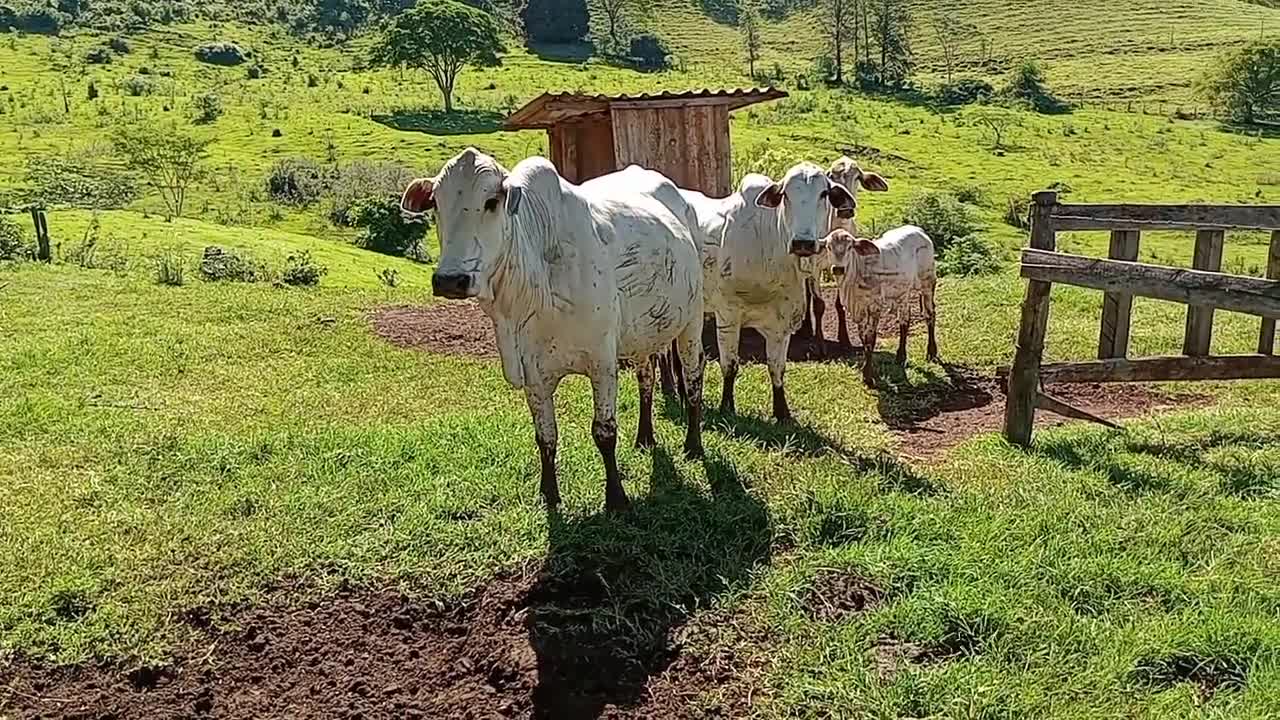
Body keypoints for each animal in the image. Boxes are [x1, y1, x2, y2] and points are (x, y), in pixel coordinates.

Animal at [399, 148, 706, 509]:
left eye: (491, 201)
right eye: (436, 202)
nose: (450, 280)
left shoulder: (603, 363)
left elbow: (604, 432)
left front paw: (616, 498)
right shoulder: (533, 373)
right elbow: (545, 436)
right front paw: (549, 493)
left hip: (692, 322)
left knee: (693, 380)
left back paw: (693, 444)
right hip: (642, 334)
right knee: (647, 378)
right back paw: (644, 437)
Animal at [686, 161, 855, 420]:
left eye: (824, 194)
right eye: (785, 194)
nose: (803, 243)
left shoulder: (782, 323)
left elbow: (777, 368)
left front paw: (782, 411)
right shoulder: (728, 315)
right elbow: (730, 365)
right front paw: (727, 406)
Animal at [819, 225, 942, 386]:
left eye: (850, 247)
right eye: (828, 247)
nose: (838, 269)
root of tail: (919, 230)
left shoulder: (874, 306)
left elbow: (870, 339)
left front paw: (868, 376)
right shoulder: (859, 309)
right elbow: (863, 338)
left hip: (927, 282)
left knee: (930, 315)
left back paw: (931, 352)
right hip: (902, 292)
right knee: (904, 320)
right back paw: (900, 356)